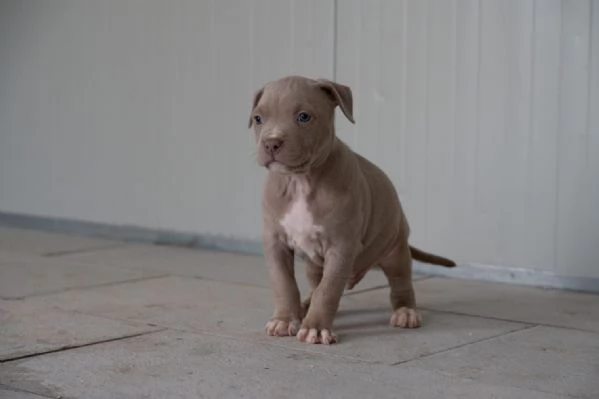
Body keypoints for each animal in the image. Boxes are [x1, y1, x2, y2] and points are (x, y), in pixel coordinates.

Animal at [248, 76, 454, 346]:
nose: (271, 142)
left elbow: (329, 289)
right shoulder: (276, 243)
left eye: (304, 117)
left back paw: (406, 312)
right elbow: (284, 283)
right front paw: (284, 319)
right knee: (315, 283)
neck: (300, 181)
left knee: (401, 283)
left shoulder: (341, 246)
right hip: (315, 264)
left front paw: (315, 327)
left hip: (395, 250)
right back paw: (306, 305)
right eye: (258, 118)